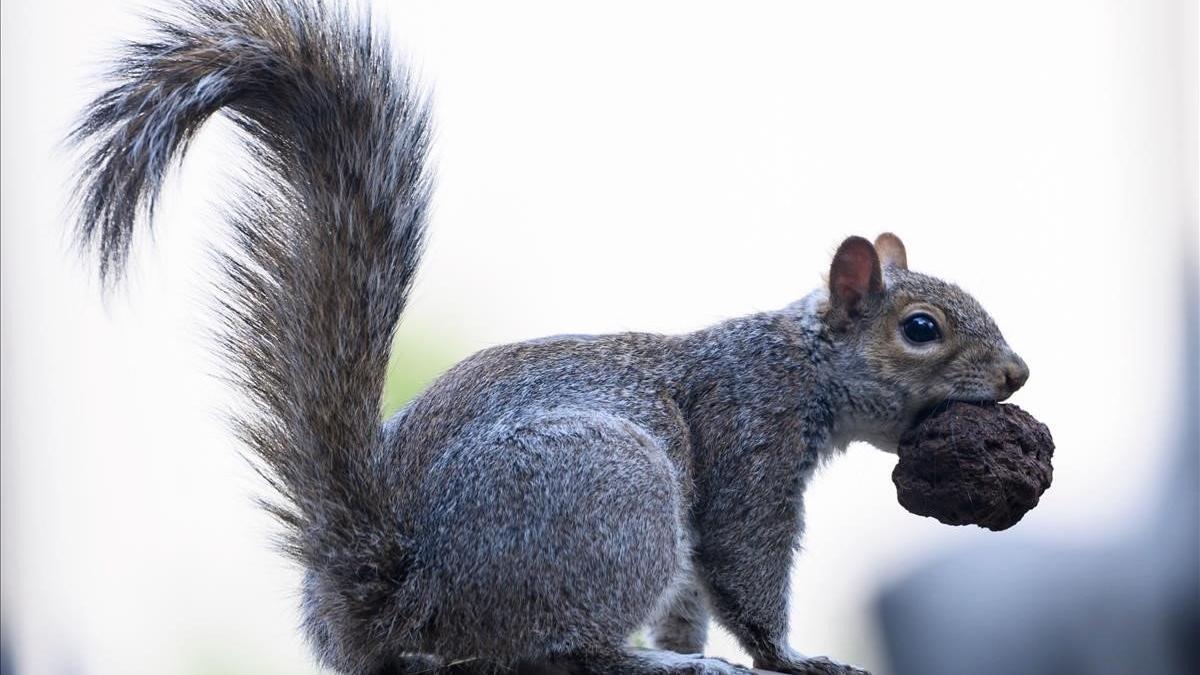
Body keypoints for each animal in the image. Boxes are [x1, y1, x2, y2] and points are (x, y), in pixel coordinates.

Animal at [72, 1, 1032, 672]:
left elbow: (689, 595)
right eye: (921, 329)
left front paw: (697, 639)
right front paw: (789, 655)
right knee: (563, 645)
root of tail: (397, 594)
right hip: (615, 495)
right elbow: (742, 561)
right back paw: (656, 663)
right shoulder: (748, 439)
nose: (1017, 375)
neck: (798, 362)